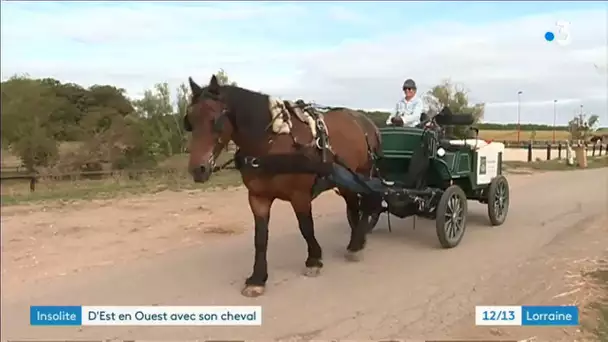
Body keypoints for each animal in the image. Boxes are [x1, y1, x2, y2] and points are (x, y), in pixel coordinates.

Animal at [184, 74, 380, 296]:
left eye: (214, 119)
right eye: (190, 120)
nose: (198, 169)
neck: (271, 144)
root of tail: (366, 122)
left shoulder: (300, 196)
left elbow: (306, 227)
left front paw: (314, 260)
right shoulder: (258, 198)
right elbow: (260, 238)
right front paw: (257, 278)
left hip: (362, 173)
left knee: (368, 202)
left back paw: (356, 243)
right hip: (347, 179)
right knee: (354, 206)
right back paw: (357, 241)